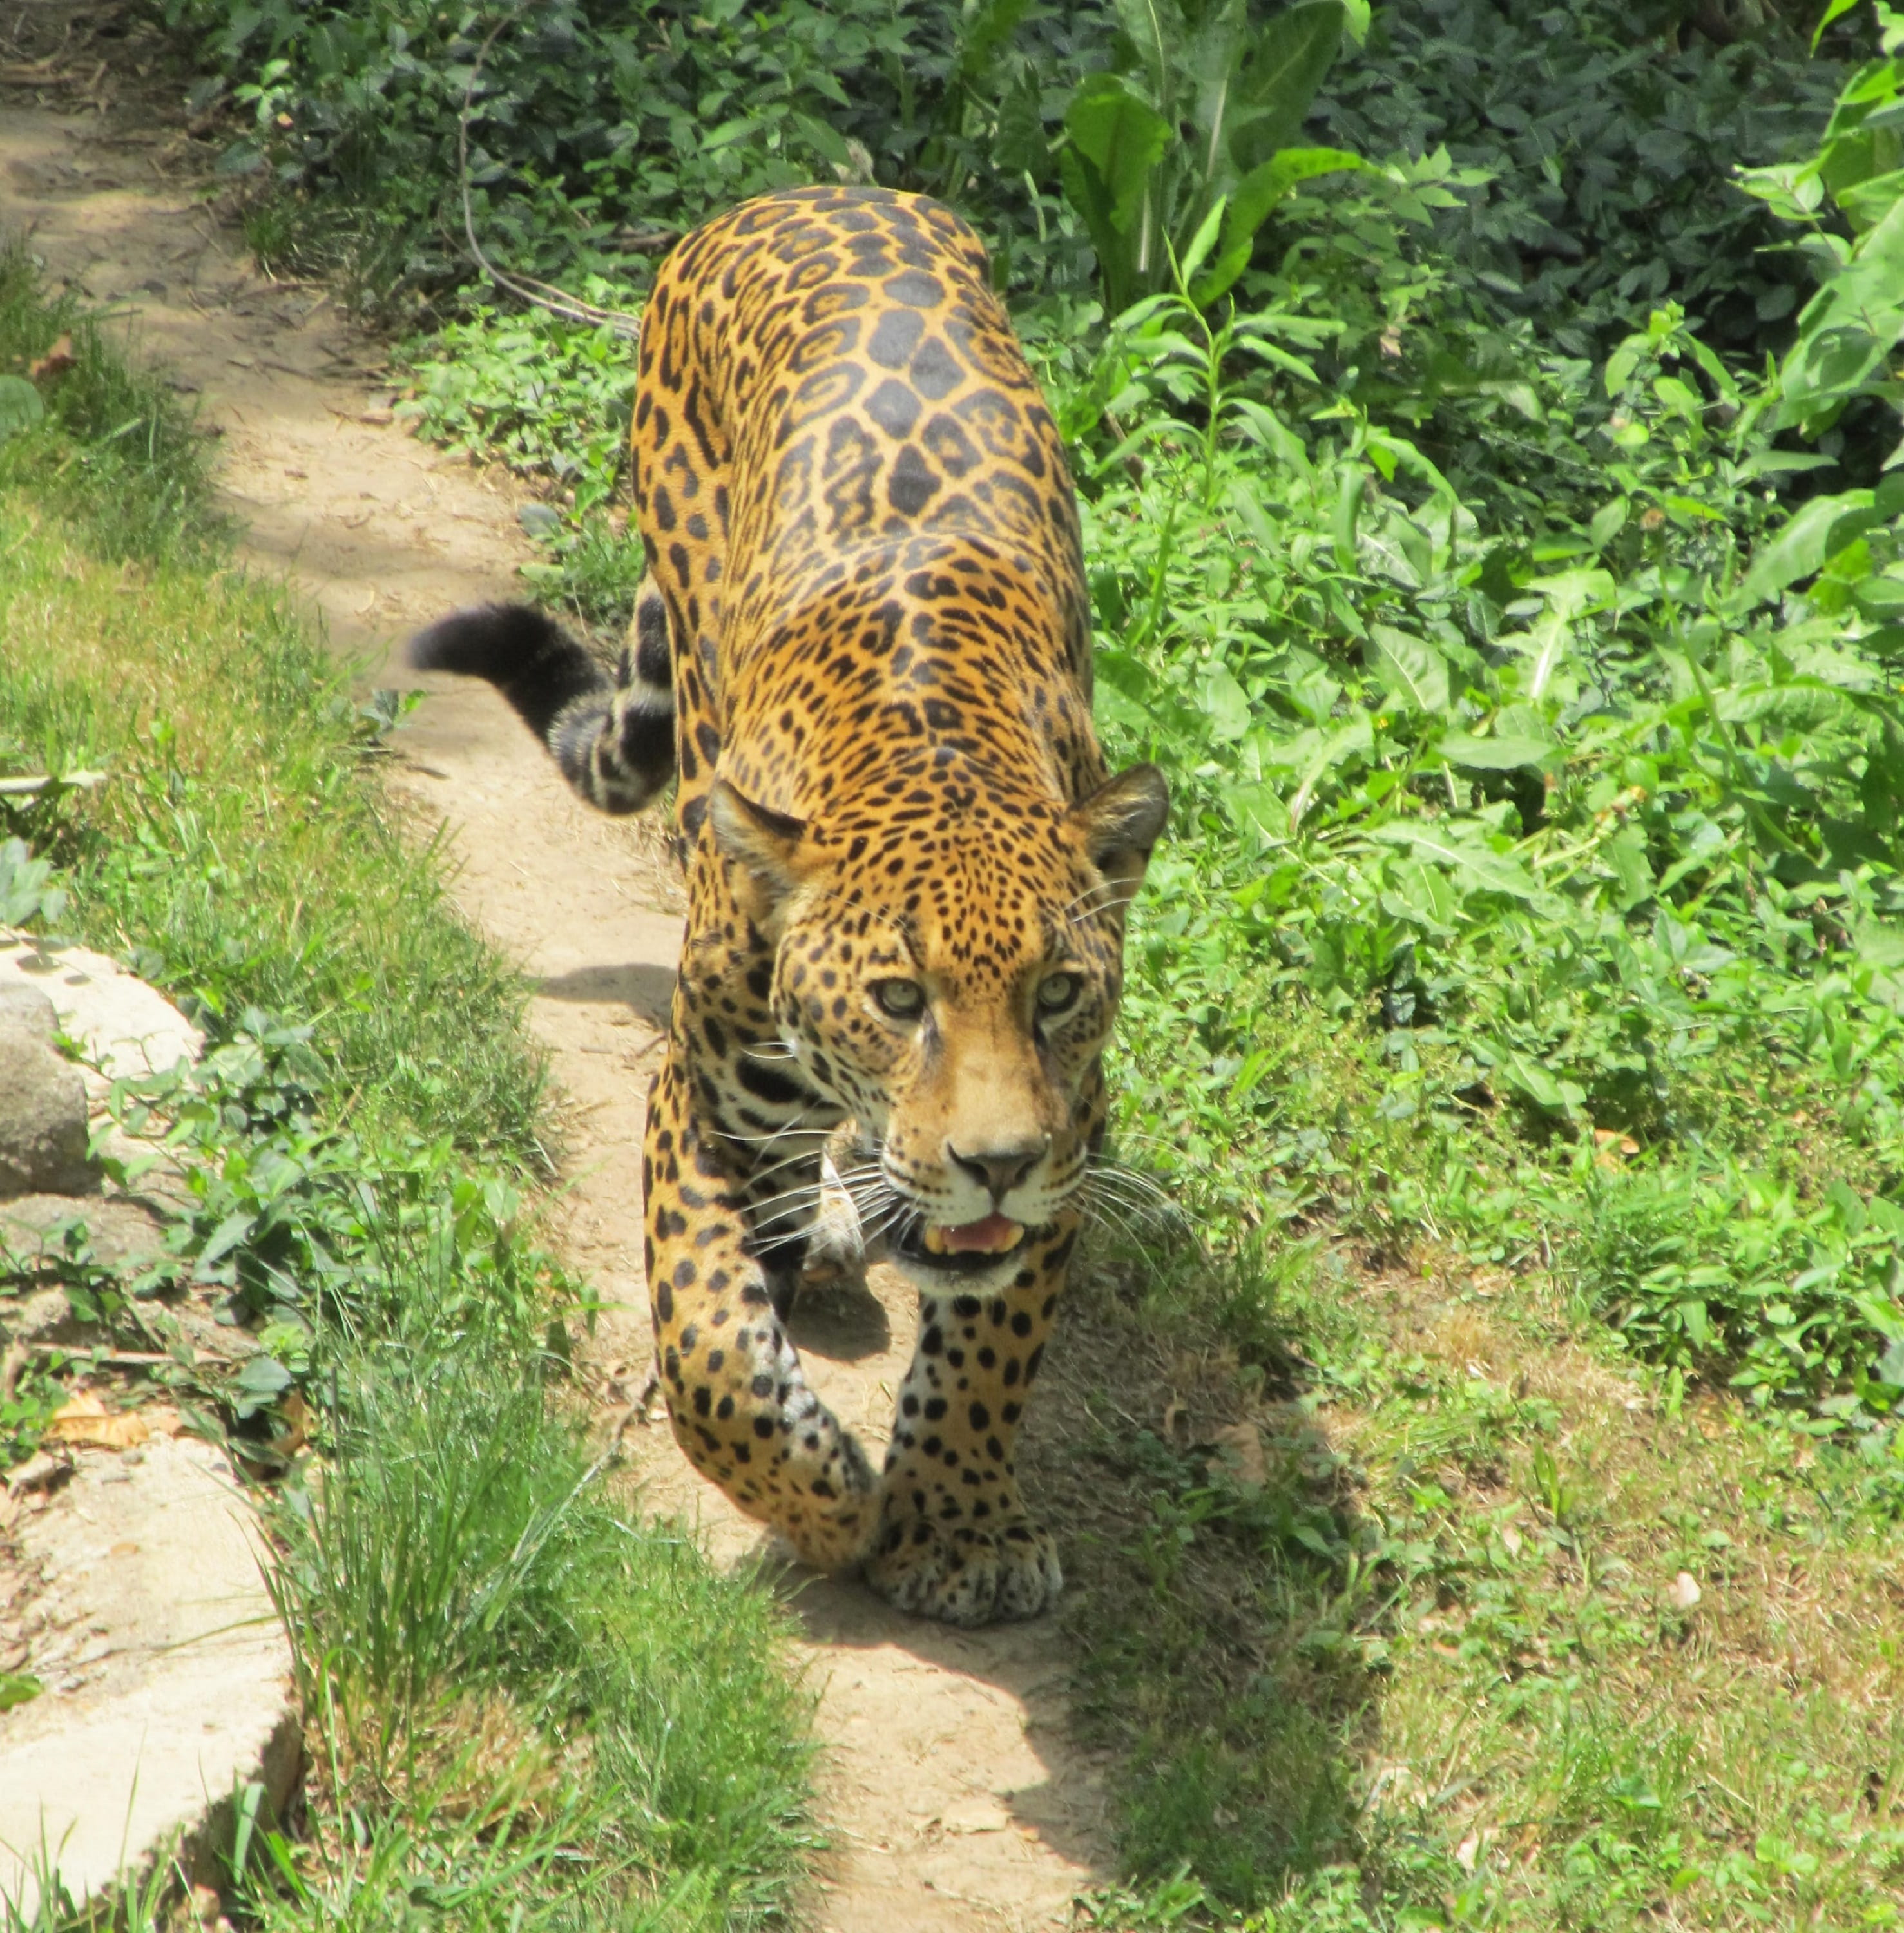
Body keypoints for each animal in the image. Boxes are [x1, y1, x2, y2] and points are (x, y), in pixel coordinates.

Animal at [410, 184, 1167, 1627]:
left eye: (1058, 994)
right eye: (898, 999)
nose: (995, 1161)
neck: (937, 748)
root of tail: (815, 190)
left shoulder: (1076, 1124)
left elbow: (991, 1339)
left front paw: (960, 1529)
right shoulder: (701, 1100)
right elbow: (708, 1345)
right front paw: (827, 1504)